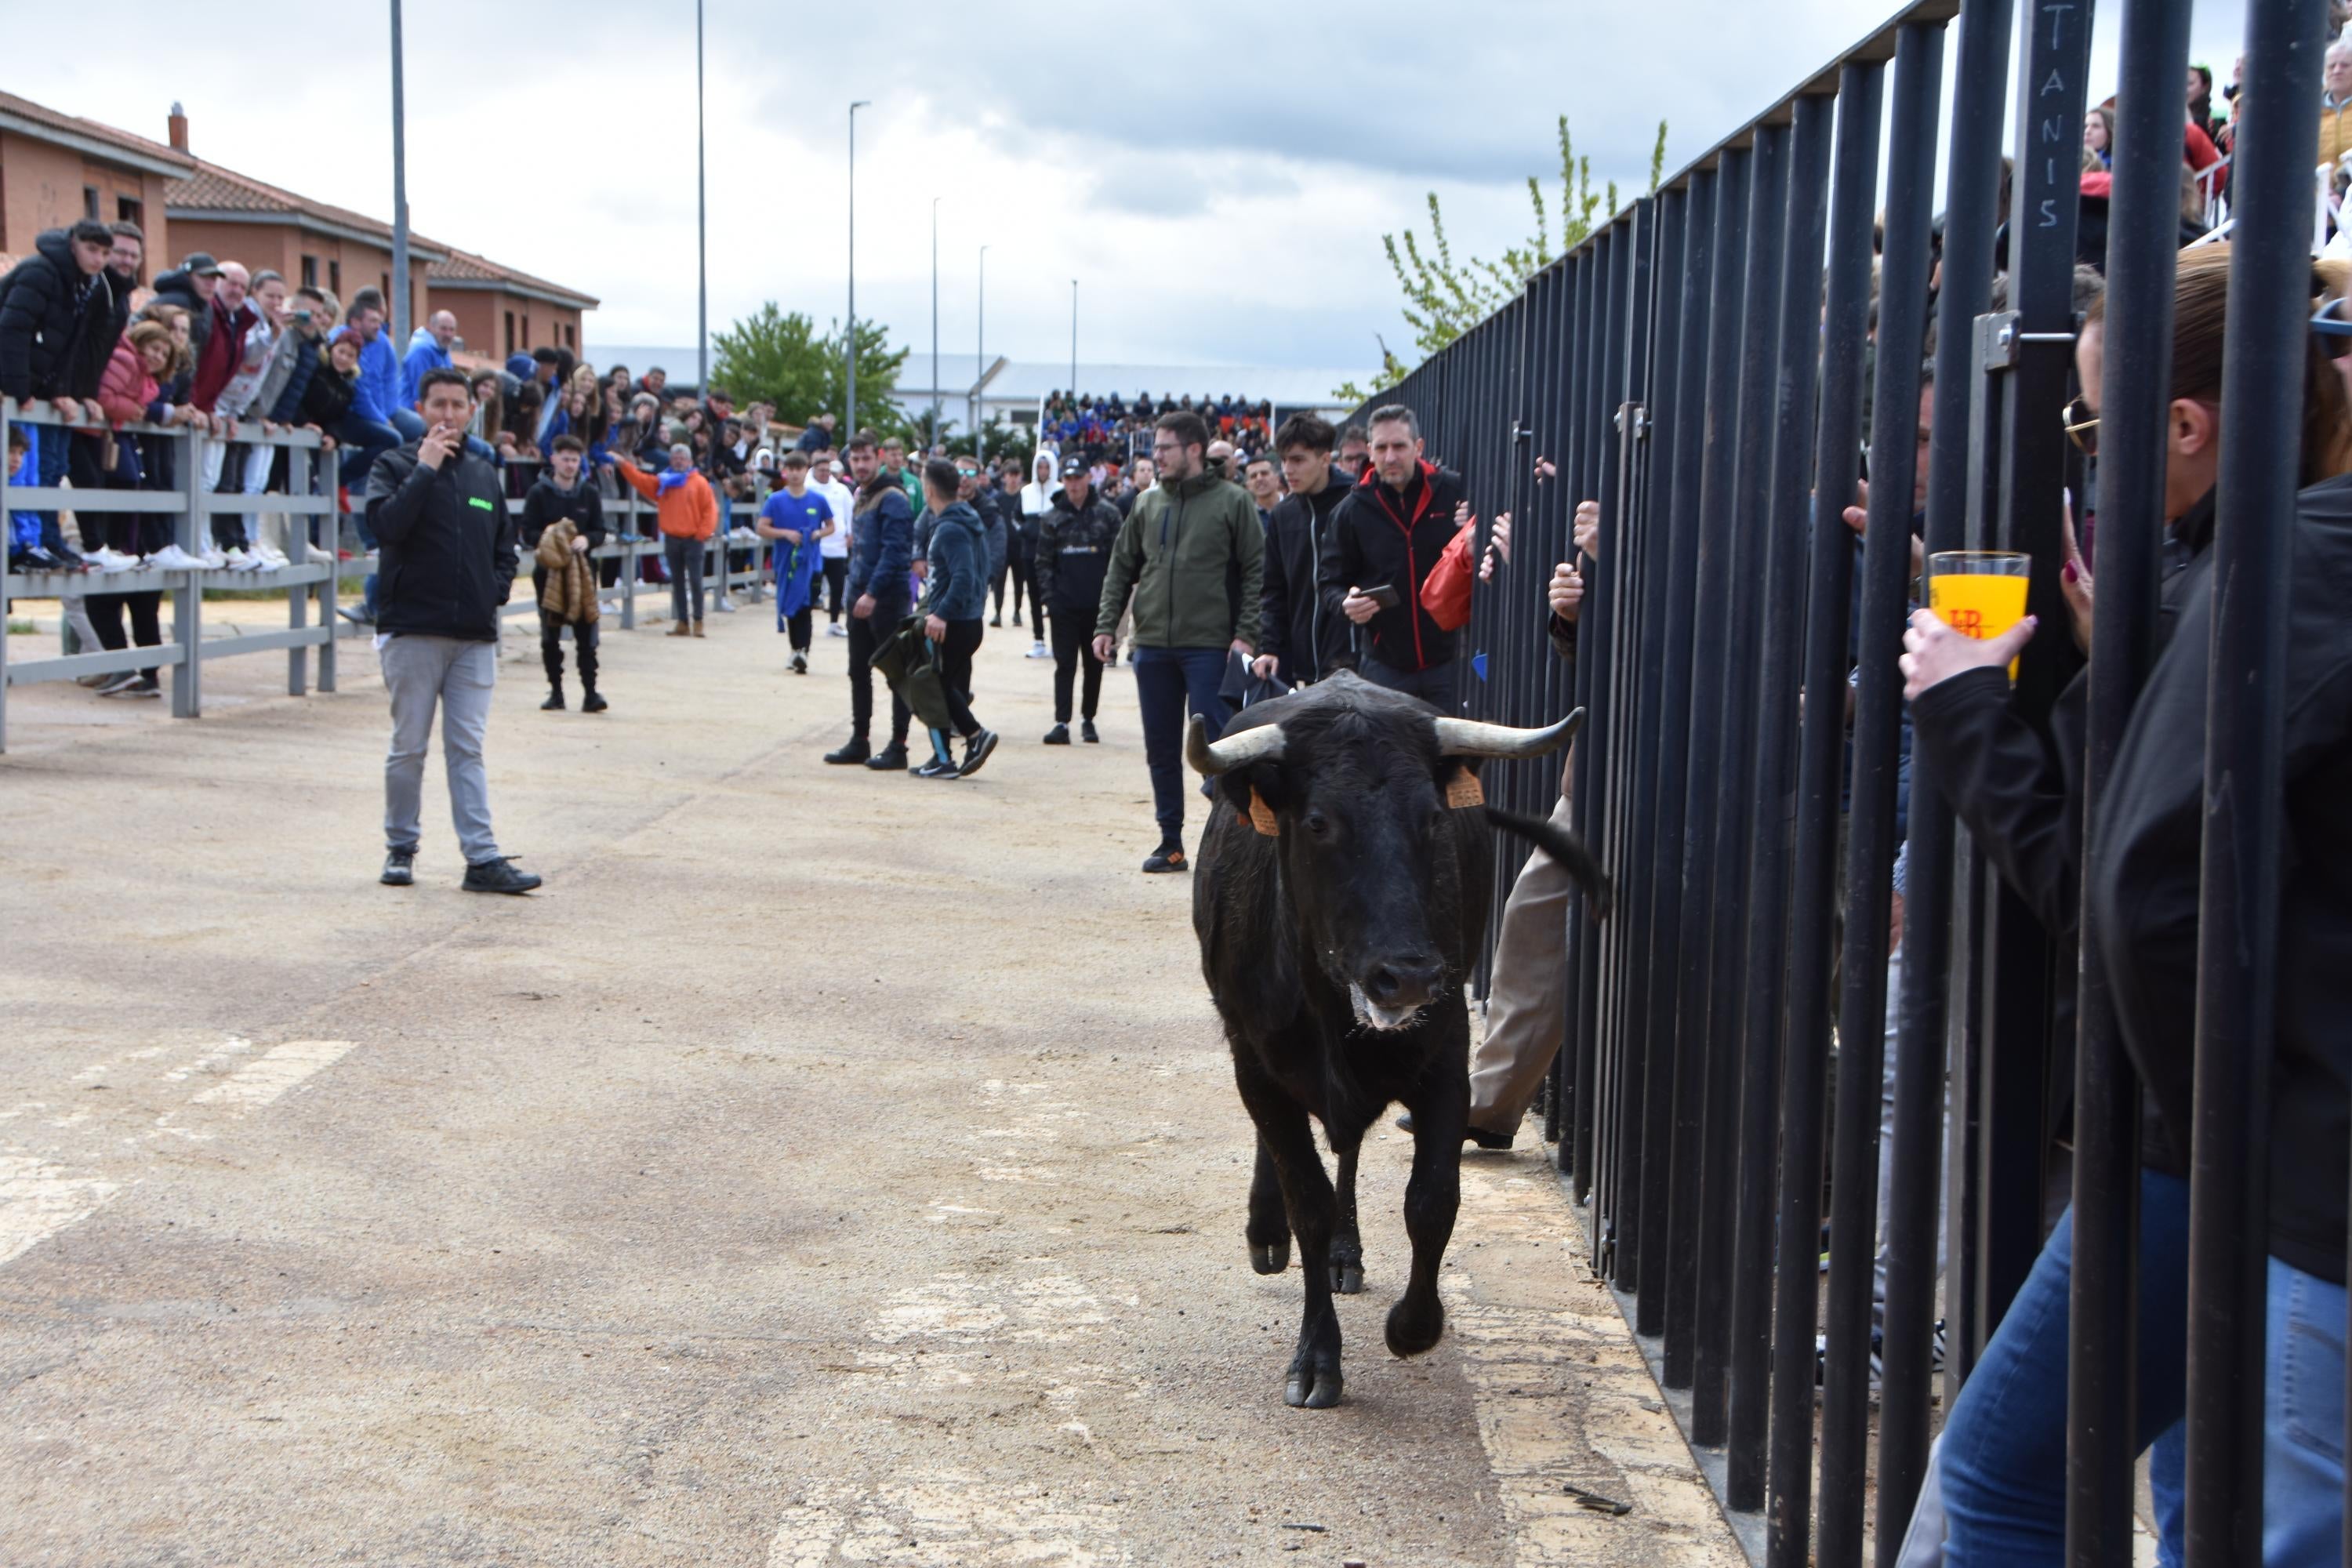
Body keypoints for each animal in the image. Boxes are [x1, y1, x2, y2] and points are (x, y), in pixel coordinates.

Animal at [1185, 677, 1609, 1410]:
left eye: (1432, 819)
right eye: (1318, 822)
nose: (1407, 974)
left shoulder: (1446, 1061)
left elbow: (1432, 1200)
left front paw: (1413, 1327)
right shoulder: (1256, 1063)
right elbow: (1307, 1197)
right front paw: (1316, 1357)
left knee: (1351, 1150)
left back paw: (1344, 1256)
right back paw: (1267, 1232)